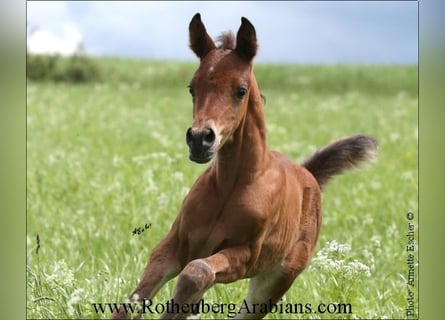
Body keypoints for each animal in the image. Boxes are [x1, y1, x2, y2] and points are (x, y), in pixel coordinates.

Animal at [112, 13, 376, 318]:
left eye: (241, 90)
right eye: (192, 88)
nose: (200, 139)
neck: (231, 186)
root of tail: (309, 174)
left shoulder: (245, 256)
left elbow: (197, 271)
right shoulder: (173, 245)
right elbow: (133, 301)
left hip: (275, 281)